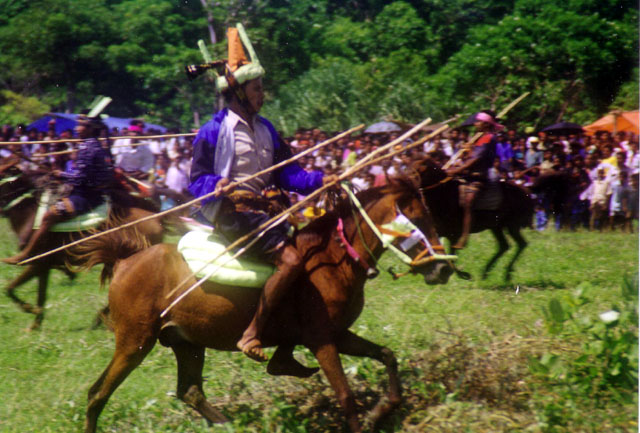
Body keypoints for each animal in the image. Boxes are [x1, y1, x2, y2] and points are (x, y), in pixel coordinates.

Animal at [0, 167, 168, 330]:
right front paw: (36, 323)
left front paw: (30, 309)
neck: (31, 214)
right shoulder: (44, 266)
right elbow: (40, 295)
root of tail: (157, 218)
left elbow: (10, 288)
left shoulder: (36, 263)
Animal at [75, 176, 452, 432]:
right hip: (135, 342)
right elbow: (345, 396)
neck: (334, 258)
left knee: (190, 392)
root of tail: (126, 261)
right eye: (416, 221)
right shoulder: (321, 340)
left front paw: (382, 410)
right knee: (97, 395)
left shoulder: (338, 334)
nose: (444, 268)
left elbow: (387, 356)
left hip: (186, 342)